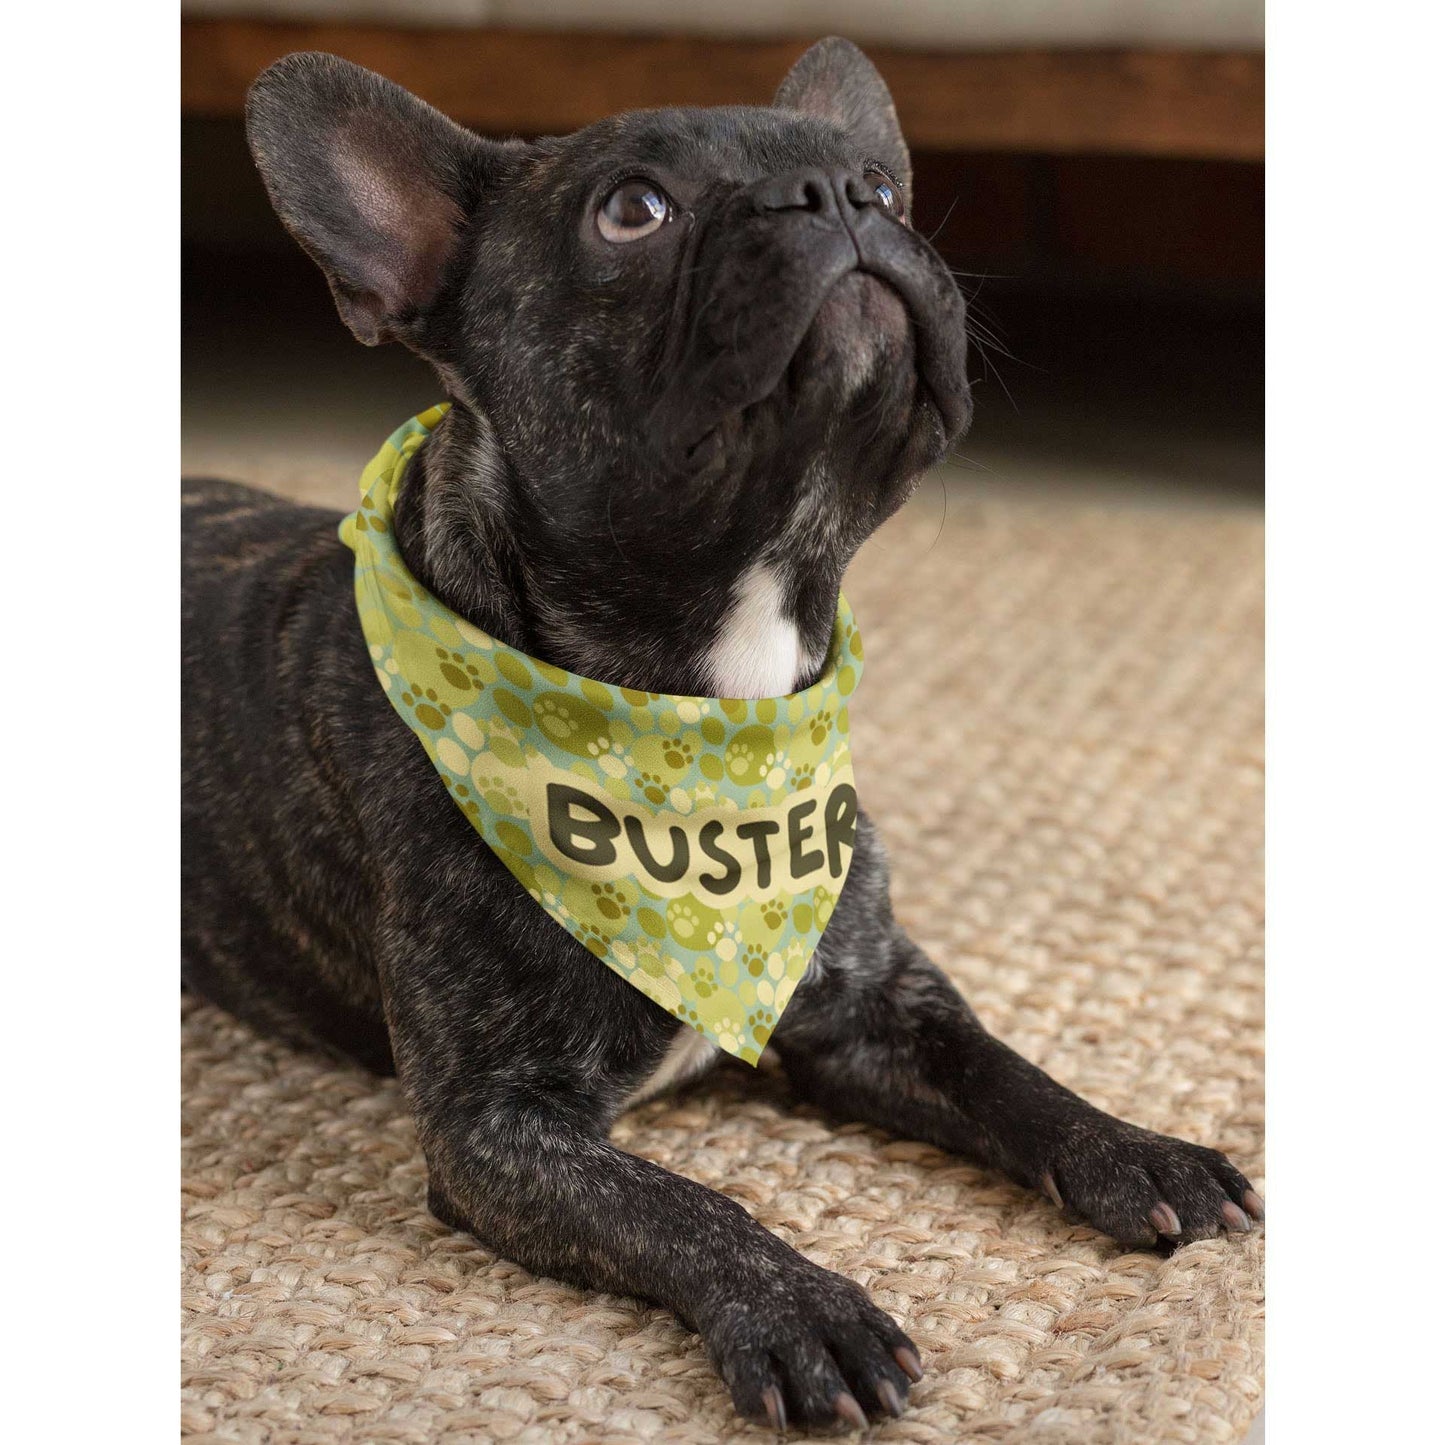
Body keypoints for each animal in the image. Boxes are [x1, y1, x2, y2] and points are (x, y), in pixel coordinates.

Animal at [183, 42, 1265, 1433]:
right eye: (632, 210)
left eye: (881, 186)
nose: (837, 195)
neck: (711, 696)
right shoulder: (498, 1128)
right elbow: (680, 1203)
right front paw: (803, 1308)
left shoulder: (873, 998)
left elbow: (1002, 1069)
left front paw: (1136, 1146)